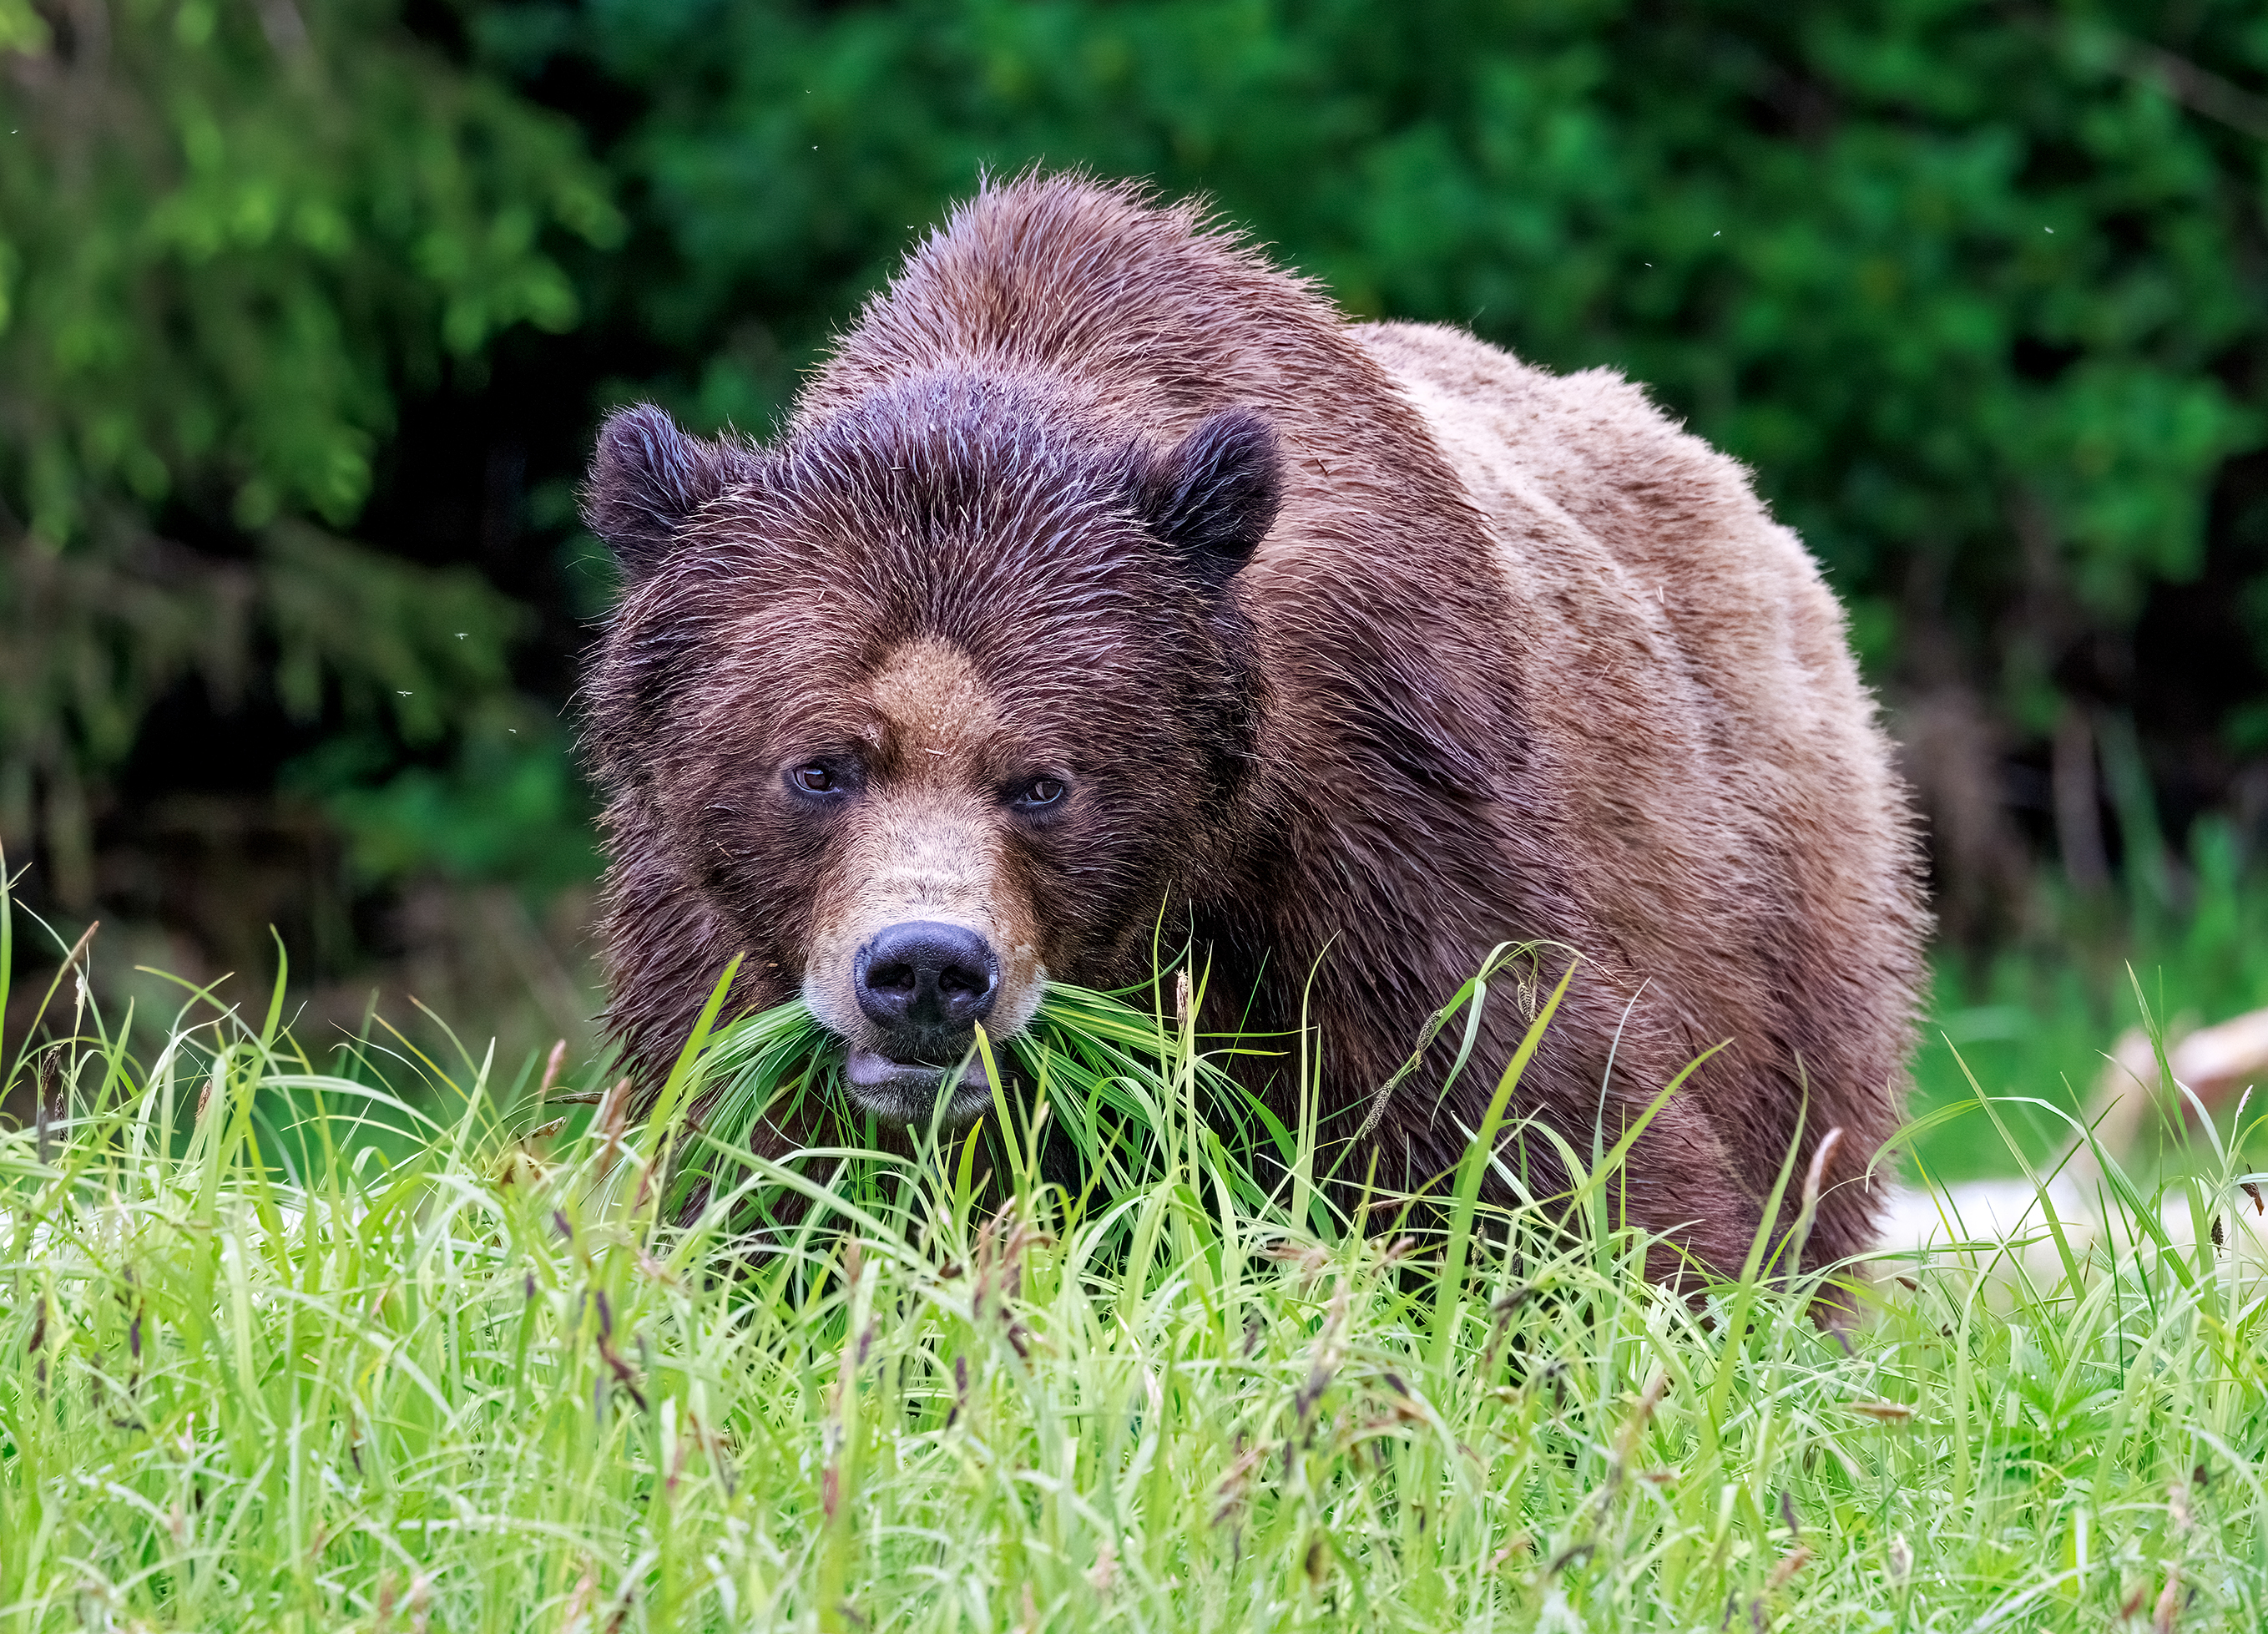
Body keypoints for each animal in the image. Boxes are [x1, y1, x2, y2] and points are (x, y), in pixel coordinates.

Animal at [576, 175, 1923, 1279]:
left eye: (1042, 781)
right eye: (821, 767)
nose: (924, 971)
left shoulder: (1381, 799)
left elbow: (1535, 1119)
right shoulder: (709, 927)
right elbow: (766, 1172)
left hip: (1770, 889)